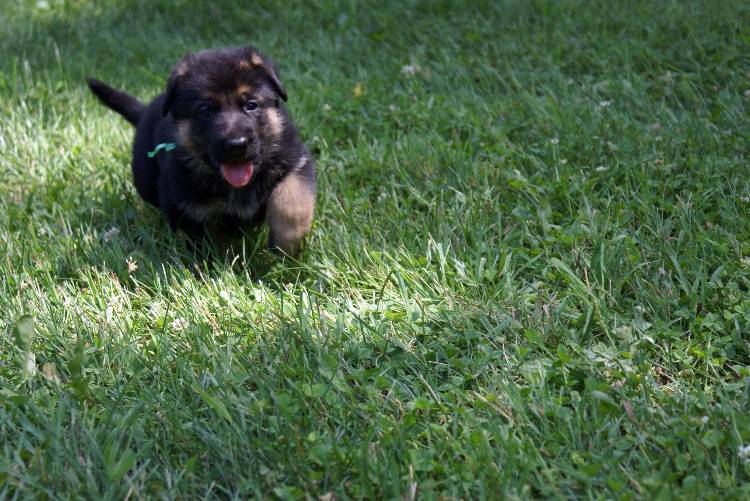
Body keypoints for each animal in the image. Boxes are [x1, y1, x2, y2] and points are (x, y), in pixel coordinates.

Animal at [87, 46, 318, 256]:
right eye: (204, 111)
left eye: (251, 105)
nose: (236, 144)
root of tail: (143, 112)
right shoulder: (185, 205)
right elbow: (208, 242)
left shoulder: (296, 161)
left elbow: (291, 201)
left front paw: (286, 245)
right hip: (145, 180)